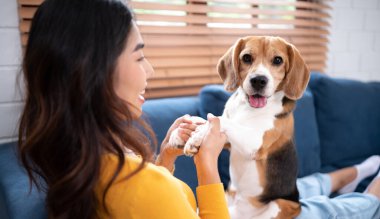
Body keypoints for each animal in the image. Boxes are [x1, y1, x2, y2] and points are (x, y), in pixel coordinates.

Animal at [169, 35, 308, 218]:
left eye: (278, 60)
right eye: (246, 57)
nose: (258, 80)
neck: (247, 107)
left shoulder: (256, 144)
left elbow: (219, 120)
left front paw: (196, 136)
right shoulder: (229, 143)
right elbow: (208, 119)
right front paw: (180, 132)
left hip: (279, 205)